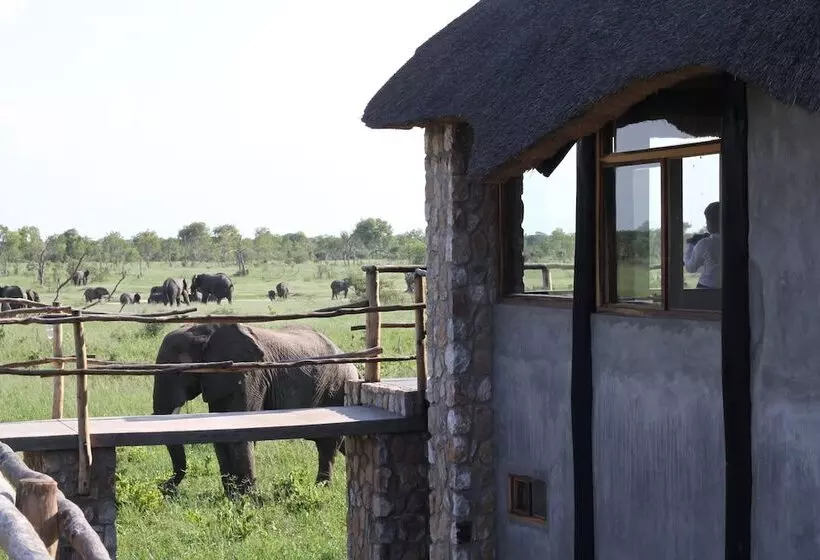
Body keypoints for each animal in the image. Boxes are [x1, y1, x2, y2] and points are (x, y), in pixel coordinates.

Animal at [152, 323, 360, 497]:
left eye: (178, 372)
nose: (164, 488)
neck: (205, 331)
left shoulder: (249, 374)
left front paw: (249, 499)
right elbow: (220, 432)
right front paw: (232, 496)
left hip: (336, 388)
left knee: (327, 445)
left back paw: (320, 490)